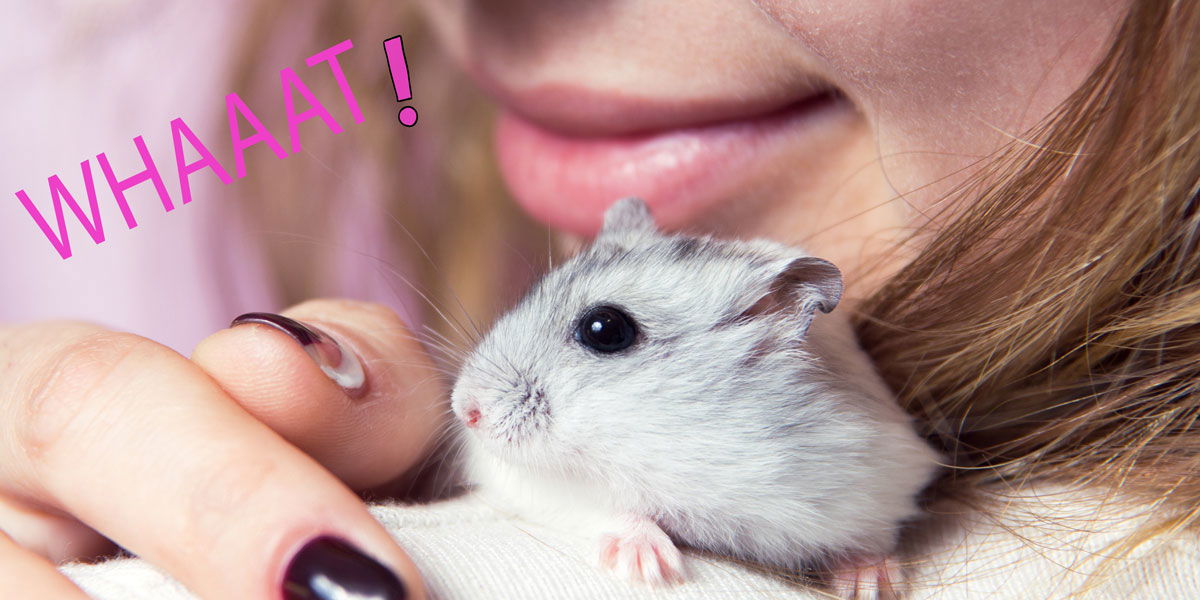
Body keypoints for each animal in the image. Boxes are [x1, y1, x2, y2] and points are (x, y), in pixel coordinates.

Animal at [450, 198, 940, 597]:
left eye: (605, 329)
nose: (466, 410)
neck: (688, 442)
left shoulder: (876, 476)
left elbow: (873, 534)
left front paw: (873, 583)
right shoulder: (522, 480)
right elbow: (597, 505)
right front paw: (651, 568)